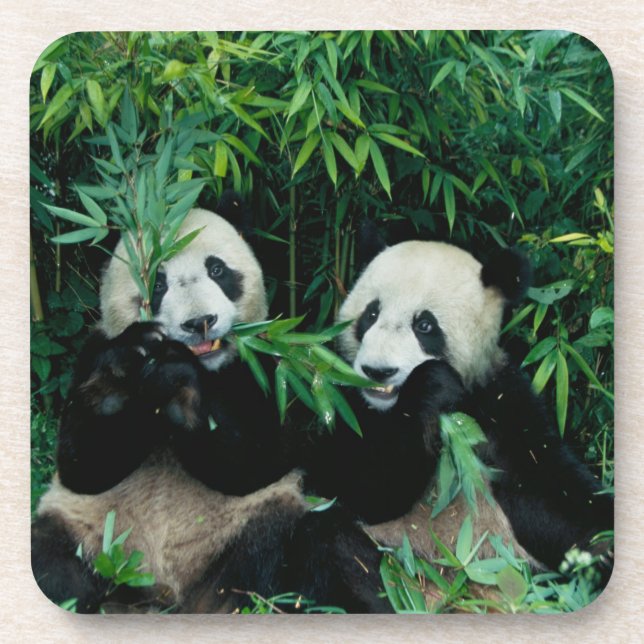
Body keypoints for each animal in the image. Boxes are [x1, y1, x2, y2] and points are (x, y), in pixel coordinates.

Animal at [31, 193, 389, 614]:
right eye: (158, 282)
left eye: (217, 270)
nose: (199, 322)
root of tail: (174, 597)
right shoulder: (91, 353)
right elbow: (82, 464)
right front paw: (123, 375)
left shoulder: (270, 368)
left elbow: (260, 458)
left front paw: (181, 383)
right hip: (91, 539)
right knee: (50, 560)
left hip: (258, 529)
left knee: (327, 543)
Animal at [302, 228, 613, 585]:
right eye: (371, 314)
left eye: (424, 325)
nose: (378, 371)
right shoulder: (340, 399)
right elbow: (353, 483)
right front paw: (431, 385)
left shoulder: (501, 405)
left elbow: (550, 492)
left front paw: (605, 548)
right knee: (329, 541)